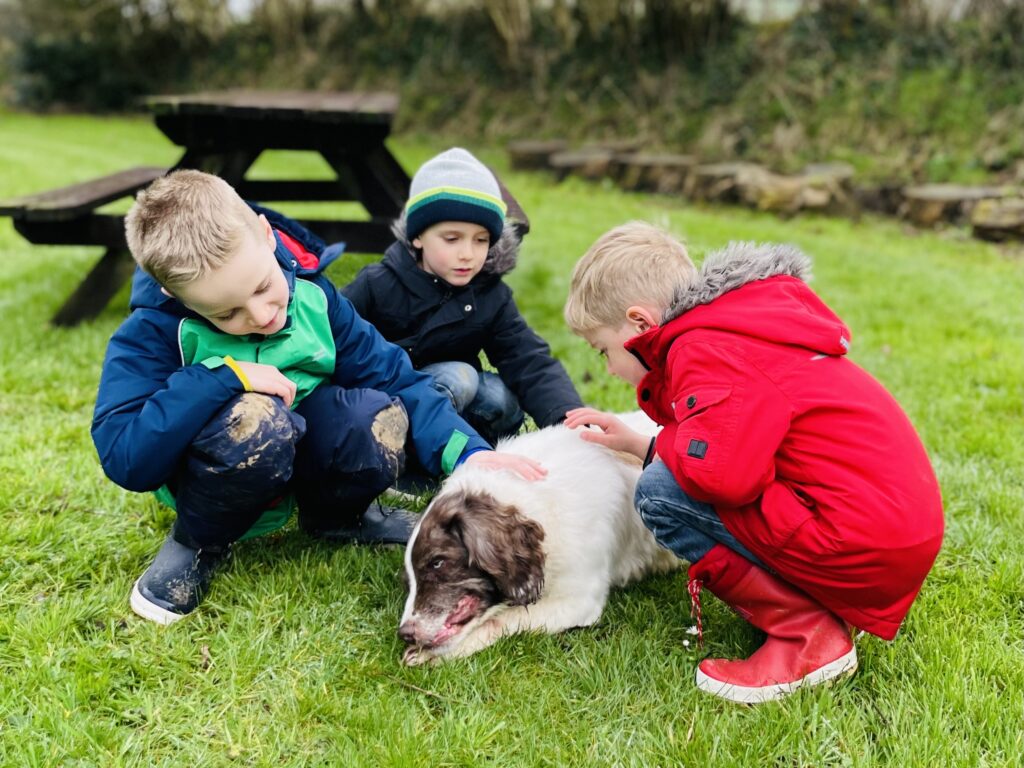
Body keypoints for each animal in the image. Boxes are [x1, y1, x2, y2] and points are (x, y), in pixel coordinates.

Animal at [397, 421, 679, 667]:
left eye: (437, 563)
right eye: (409, 579)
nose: (405, 633)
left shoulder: (579, 600)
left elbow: (498, 620)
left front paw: (432, 654)